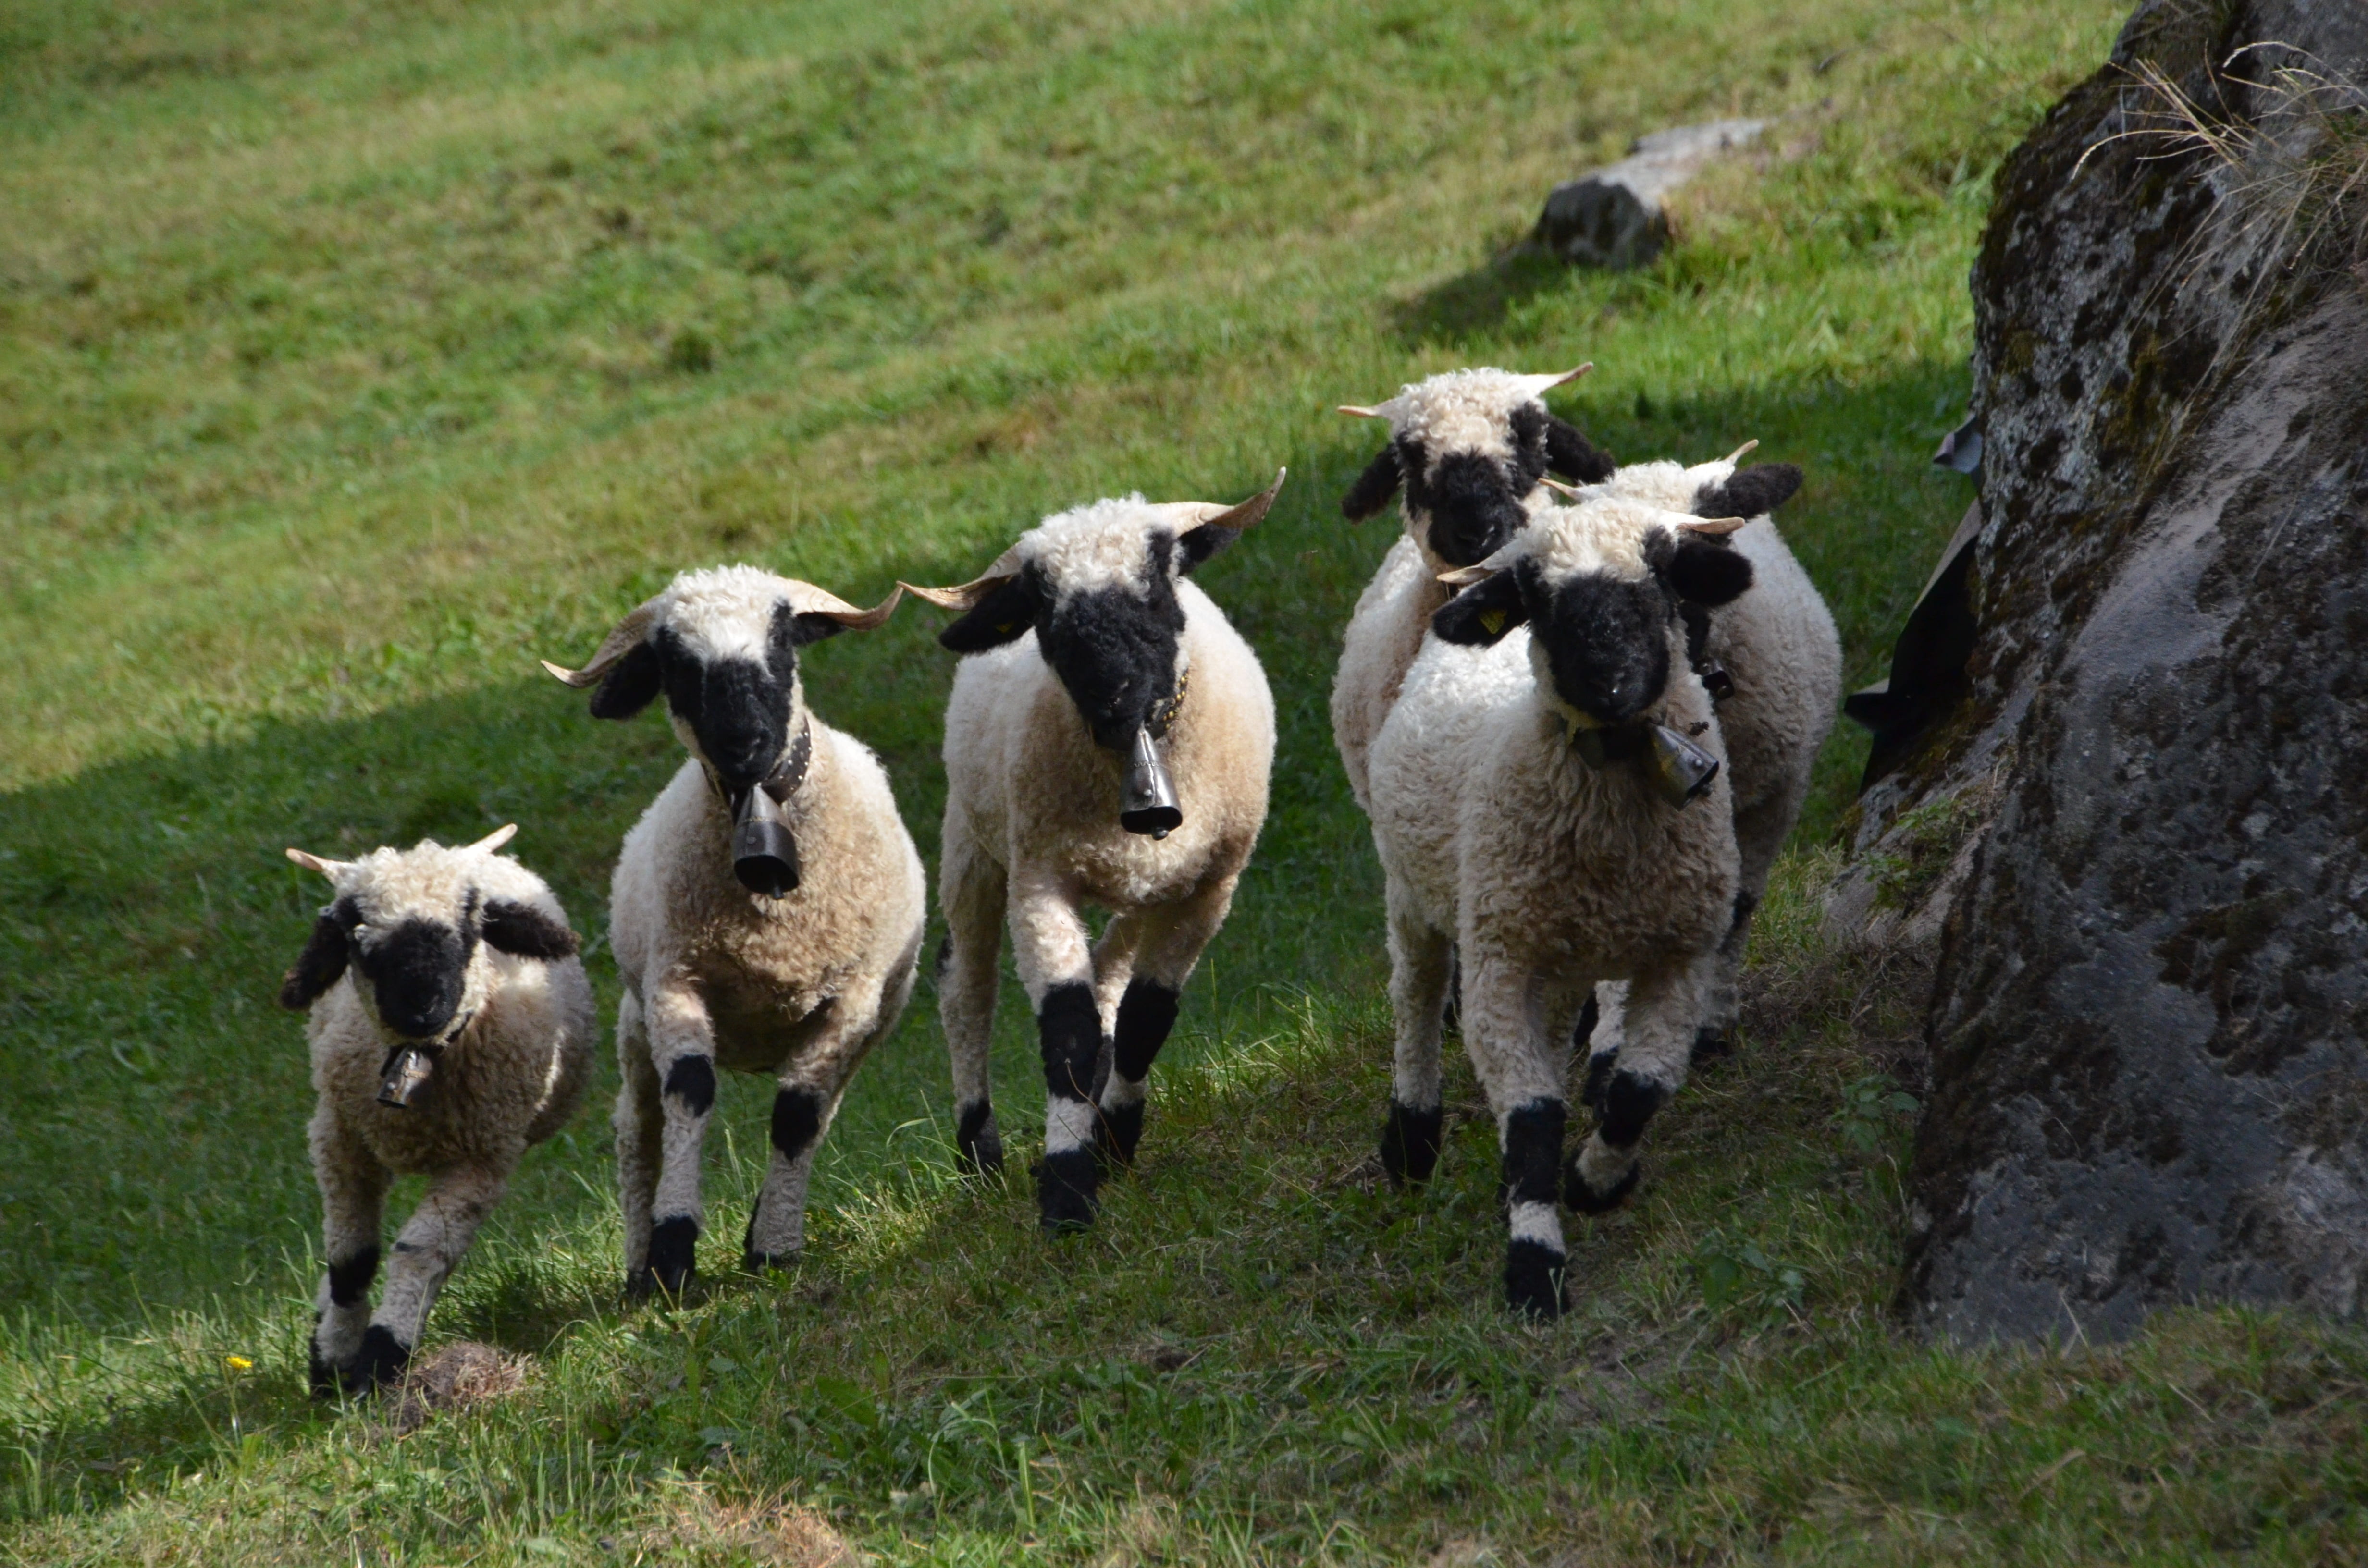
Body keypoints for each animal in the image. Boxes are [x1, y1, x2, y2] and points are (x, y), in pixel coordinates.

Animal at [278, 825, 594, 1395]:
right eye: (355, 931)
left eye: (470, 923)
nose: (421, 1004)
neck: (417, 1061)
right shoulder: (339, 1138)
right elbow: (350, 1259)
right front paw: (331, 1360)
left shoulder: (482, 1160)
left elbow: (420, 1253)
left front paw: (381, 1359)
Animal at [542, 567, 925, 1295]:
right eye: (677, 666)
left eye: (781, 643)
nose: (743, 743)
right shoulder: (676, 983)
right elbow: (691, 1095)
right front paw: (671, 1254)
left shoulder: (852, 1001)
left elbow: (798, 1114)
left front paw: (772, 1247)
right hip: (634, 1021)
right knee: (639, 1129)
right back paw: (637, 1263)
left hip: (870, 1024)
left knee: (820, 1110)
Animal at [904, 472, 1284, 1231]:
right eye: (1047, 617)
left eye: (1157, 590)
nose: (1115, 696)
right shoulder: (1039, 880)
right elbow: (1069, 1036)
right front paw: (1067, 1192)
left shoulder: (1211, 887)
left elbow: (1144, 1020)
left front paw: (1113, 1140)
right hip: (973, 841)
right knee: (966, 990)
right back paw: (979, 1153)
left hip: (1148, 889)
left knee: (1111, 969)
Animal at [1363, 492, 1762, 1316]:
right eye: (1539, 600)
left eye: (1661, 579)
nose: (1609, 682)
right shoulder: (1498, 962)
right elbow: (1535, 1117)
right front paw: (1534, 1269)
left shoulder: (1681, 955)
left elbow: (1637, 1092)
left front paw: (1594, 1184)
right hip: (1419, 894)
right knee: (1415, 999)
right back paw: (1412, 1141)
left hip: (1552, 946)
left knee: (1546, 1041)